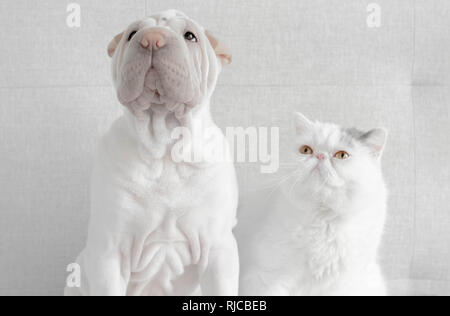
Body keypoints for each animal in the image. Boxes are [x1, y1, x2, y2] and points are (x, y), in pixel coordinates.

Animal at [65, 9, 239, 296]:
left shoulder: (219, 249)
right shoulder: (109, 252)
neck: (165, 146)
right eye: (132, 34)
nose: (152, 39)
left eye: (190, 36)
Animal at [237, 112, 388, 296]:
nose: (320, 156)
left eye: (342, 155)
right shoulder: (267, 276)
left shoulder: (340, 283)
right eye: (306, 150)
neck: (323, 217)